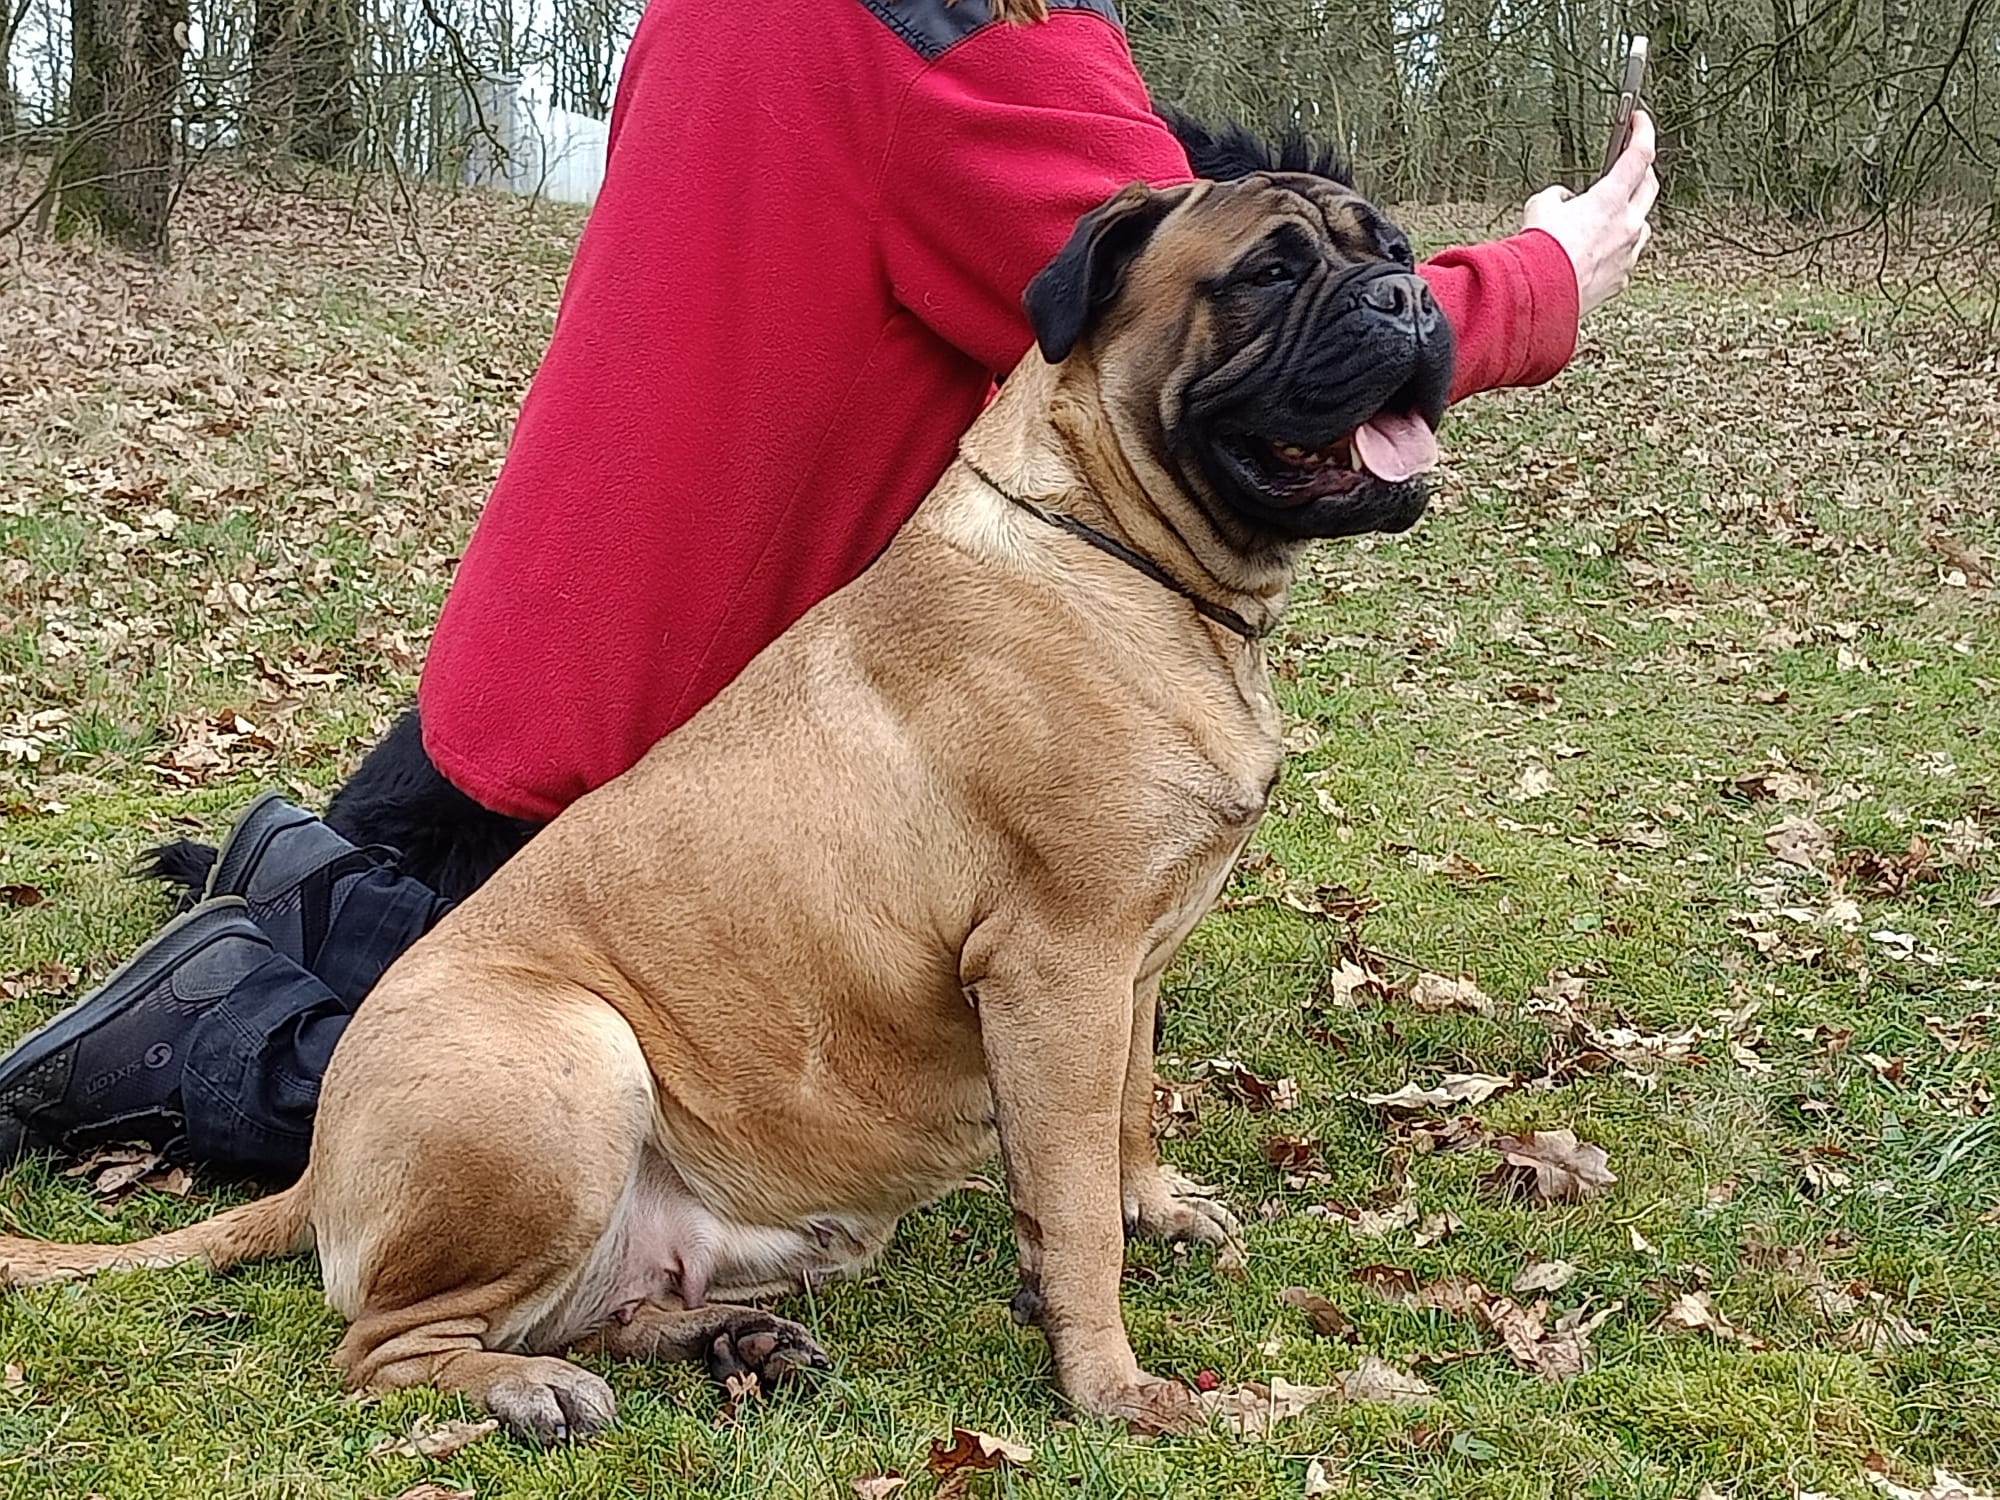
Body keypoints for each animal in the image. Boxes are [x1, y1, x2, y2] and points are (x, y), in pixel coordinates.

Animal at [7, 167, 1464, 1448]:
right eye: (1269, 272)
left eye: (1389, 245)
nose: (1409, 295)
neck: (1128, 556)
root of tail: (322, 1164)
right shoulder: (1058, 966)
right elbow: (1072, 1210)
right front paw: (1110, 1384)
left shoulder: (1133, 963)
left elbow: (1129, 1109)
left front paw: (1154, 1204)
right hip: (568, 1068)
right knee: (384, 1346)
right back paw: (526, 1391)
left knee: (592, 1305)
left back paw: (724, 1337)